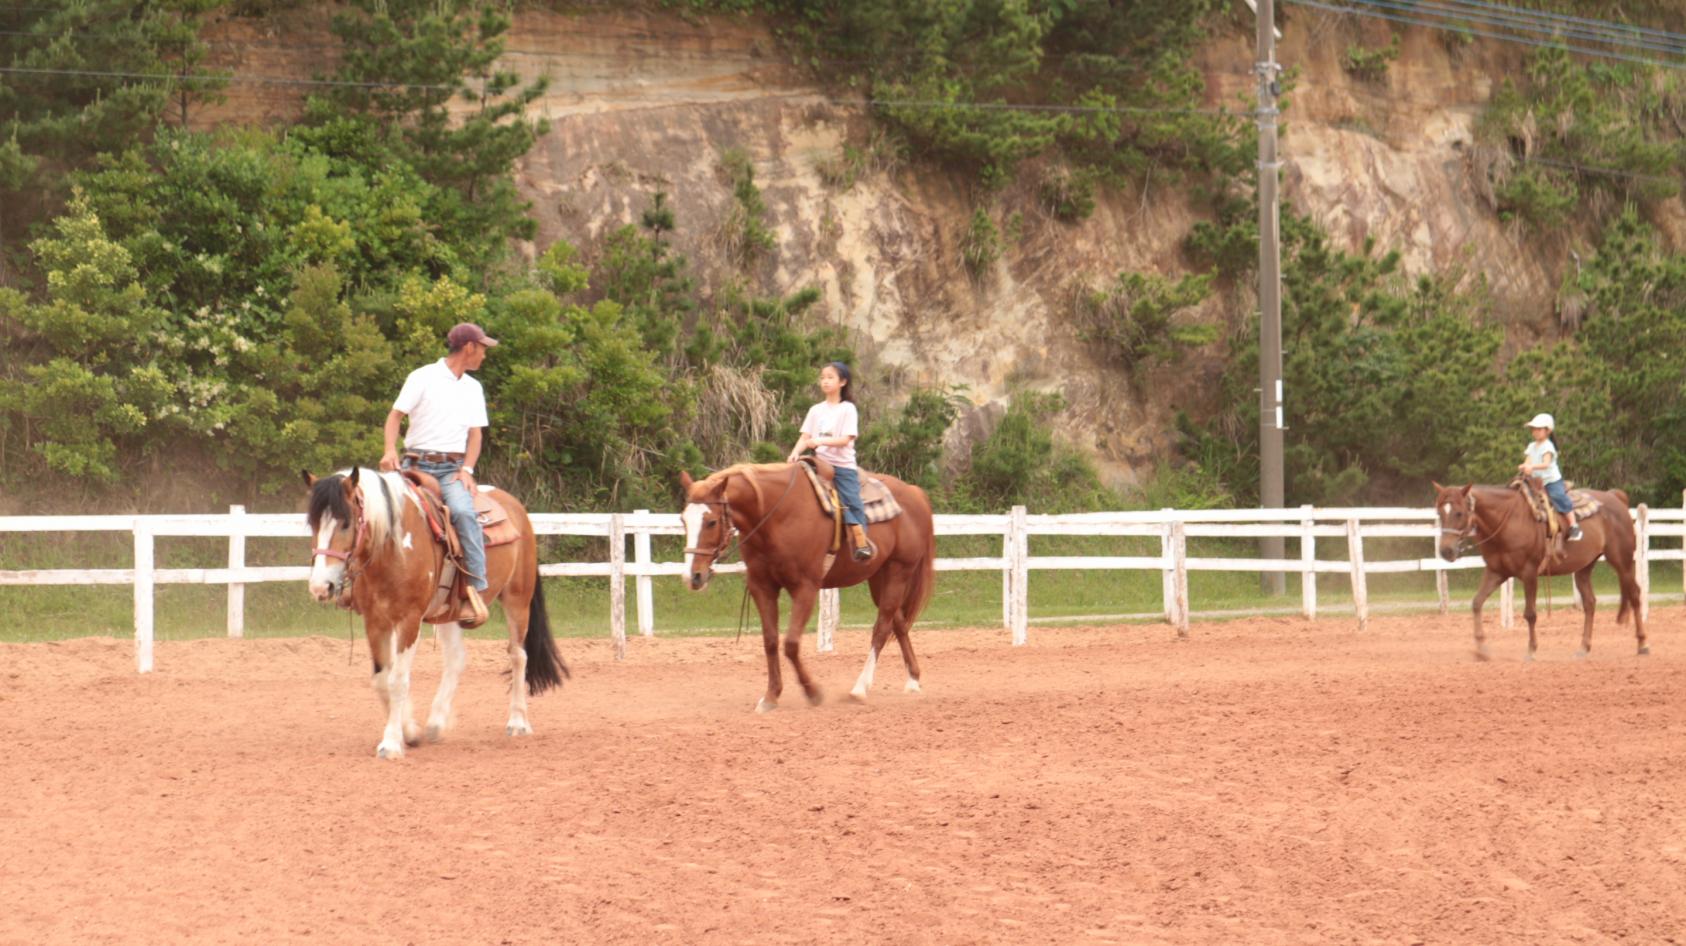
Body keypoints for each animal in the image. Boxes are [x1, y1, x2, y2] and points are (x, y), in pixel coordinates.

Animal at [303, 468, 566, 755]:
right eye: (313, 524)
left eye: (346, 523)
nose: (321, 586)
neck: (394, 547)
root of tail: (516, 507)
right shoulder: (375, 621)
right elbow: (383, 679)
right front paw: (409, 732)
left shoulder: (409, 619)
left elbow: (398, 679)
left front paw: (391, 743)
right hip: (448, 613)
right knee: (456, 659)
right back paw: (436, 724)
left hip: (517, 599)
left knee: (518, 655)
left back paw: (517, 722)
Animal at [681, 462, 944, 711]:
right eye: (683, 520)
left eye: (711, 521)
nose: (692, 576)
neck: (776, 517)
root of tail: (913, 492)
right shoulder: (761, 587)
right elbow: (770, 641)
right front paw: (771, 696)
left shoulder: (805, 588)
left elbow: (791, 644)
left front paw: (812, 692)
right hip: (878, 577)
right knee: (898, 623)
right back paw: (913, 679)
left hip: (898, 571)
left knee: (882, 627)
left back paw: (860, 688)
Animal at [1436, 478, 1645, 657]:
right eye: (1439, 513)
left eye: (1459, 513)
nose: (1445, 551)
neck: (1508, 520)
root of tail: (1615, 497)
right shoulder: (1496, 572)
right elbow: (1477, 603)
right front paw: (1481, 649)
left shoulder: (1529, 573)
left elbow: (1530, 614)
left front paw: (1531, 650)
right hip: (1584, 567)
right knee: (1590, 602)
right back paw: (1583, 648)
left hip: (1623, 561)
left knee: (1635, 594)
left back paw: (1642, 644)